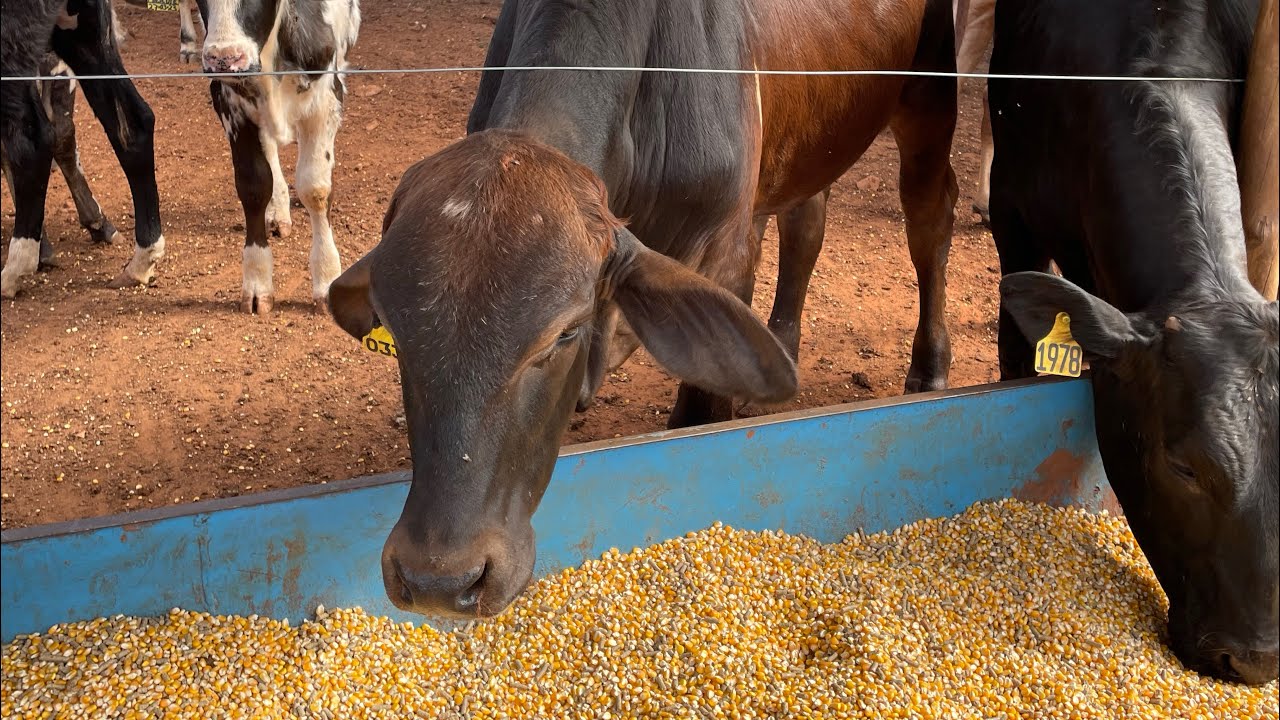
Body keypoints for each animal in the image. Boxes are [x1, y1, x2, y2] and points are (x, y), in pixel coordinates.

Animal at [195, 0, 359, 314]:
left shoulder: (325, 100)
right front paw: (257, 282)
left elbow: (316, 189)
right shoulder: (230, 102)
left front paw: (326, 277)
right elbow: (254, 186)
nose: (224, 58)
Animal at [328, 0, 960, 619]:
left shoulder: (724, 252)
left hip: (929, 102)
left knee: (929, 216)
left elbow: (697, 414)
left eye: (565, 333)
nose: (439, 579)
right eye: (398, 335)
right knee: (806, 220)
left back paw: (928, 369)